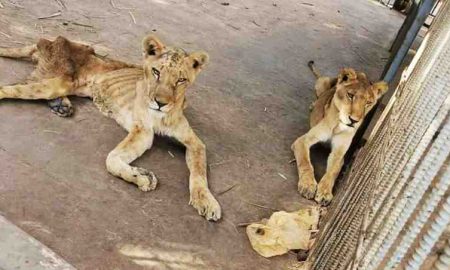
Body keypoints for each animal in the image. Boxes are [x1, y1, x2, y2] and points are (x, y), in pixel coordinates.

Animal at [0, 35, 221, 221]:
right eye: (156, 72)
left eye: (181, 80)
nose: (160, 103)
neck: (162, 116)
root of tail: (52, 40)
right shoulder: (143, 132)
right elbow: (112, 159)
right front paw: (143, 177)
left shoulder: (194, 142)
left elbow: (199, 173)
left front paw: (207, 202)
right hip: (54, 82)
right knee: (9, 88)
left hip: (61, 85)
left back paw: (61, 106)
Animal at [292, 60, 386, 205]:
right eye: (350, 96)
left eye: (368, 103)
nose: (354, 121)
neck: (338, 125)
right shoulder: (302, 141)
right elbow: (305, 162)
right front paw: (307, 185)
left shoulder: (339, 153)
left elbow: (333, 171)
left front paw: (324, 192)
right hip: (322, 82)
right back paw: (313, 105)